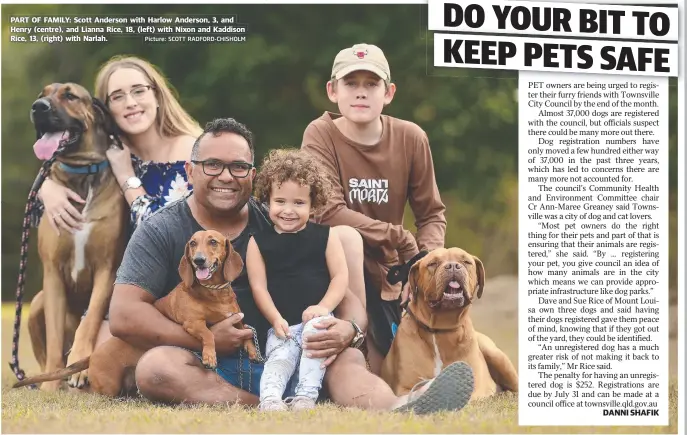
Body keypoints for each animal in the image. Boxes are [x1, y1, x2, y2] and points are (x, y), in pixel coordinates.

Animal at [16, 232, 264, 398]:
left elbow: (247, 332)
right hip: (108, 385)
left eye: (213, 241)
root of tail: (93, 355)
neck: (214, 293)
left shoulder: (237, 319)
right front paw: (210, 356)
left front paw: (253, 352)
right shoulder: (193, 323)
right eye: (193, 243)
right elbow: (209, 334)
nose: (199, 260)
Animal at [26, 82, 128, 392]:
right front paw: (51, 383)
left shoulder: (107, 269)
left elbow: (90, 317)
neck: (82, 173)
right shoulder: (52, 273)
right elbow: (54, 337)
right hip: (36, 302)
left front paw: (80, 367)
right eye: (41, 94)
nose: (38, 107)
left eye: (70, 95)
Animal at [382, 249, 516, 402]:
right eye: (433, 263)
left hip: (495, 354)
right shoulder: (404, 389)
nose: (453, 266)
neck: (441, 327)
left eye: (466, 262)